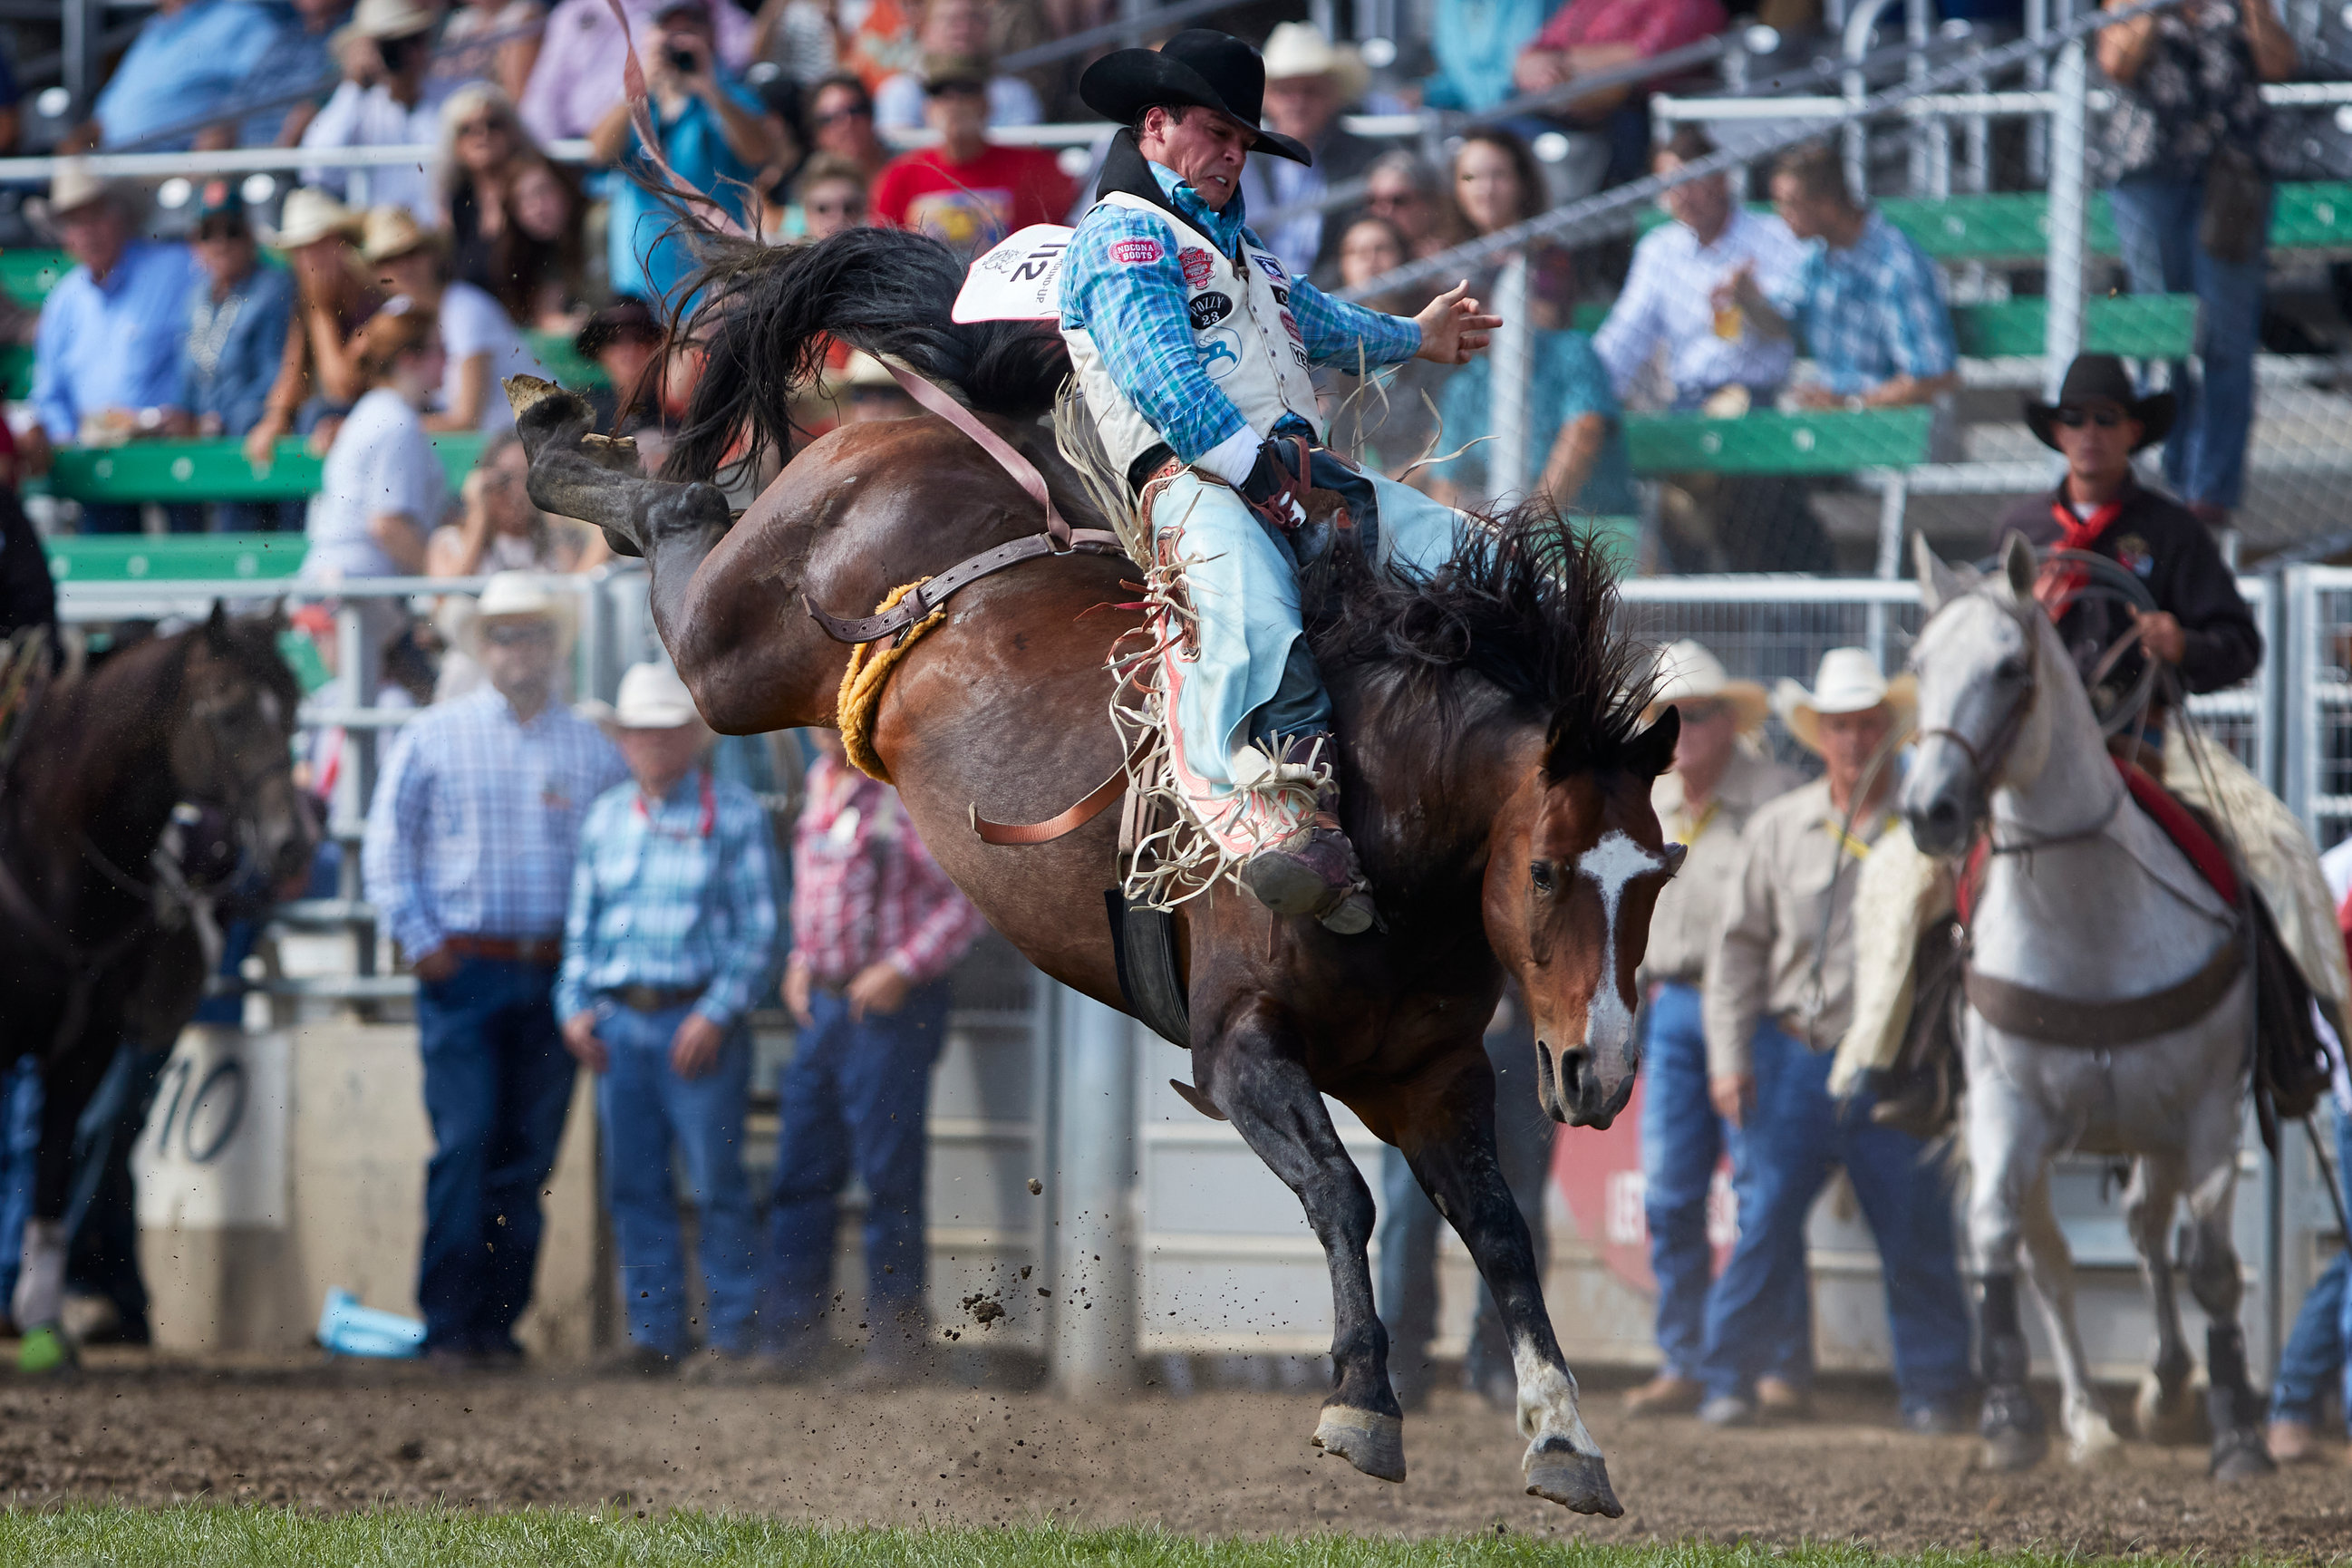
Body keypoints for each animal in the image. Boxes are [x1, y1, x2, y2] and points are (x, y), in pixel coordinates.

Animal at [0, 611, 315, 1363]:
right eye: (227, 714)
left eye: (293, 708)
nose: (292, 842)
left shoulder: (85, 1049)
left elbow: (53, 1169)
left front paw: (46, 1324)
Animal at [1910, 536, 2276, 1486]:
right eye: (1918, 665)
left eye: (2009, 668)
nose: (1929, 811)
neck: (2089, 922)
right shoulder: (2005, 1111)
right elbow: (1996, 1242)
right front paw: (2009, 1415)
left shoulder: (2206, 1115)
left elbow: (2213, 1267)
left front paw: (2237, 1428)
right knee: (2057, 1259)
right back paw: (2085, 1416)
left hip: (2154, 1135)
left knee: (2151, 1235)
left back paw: (2170, 1386)